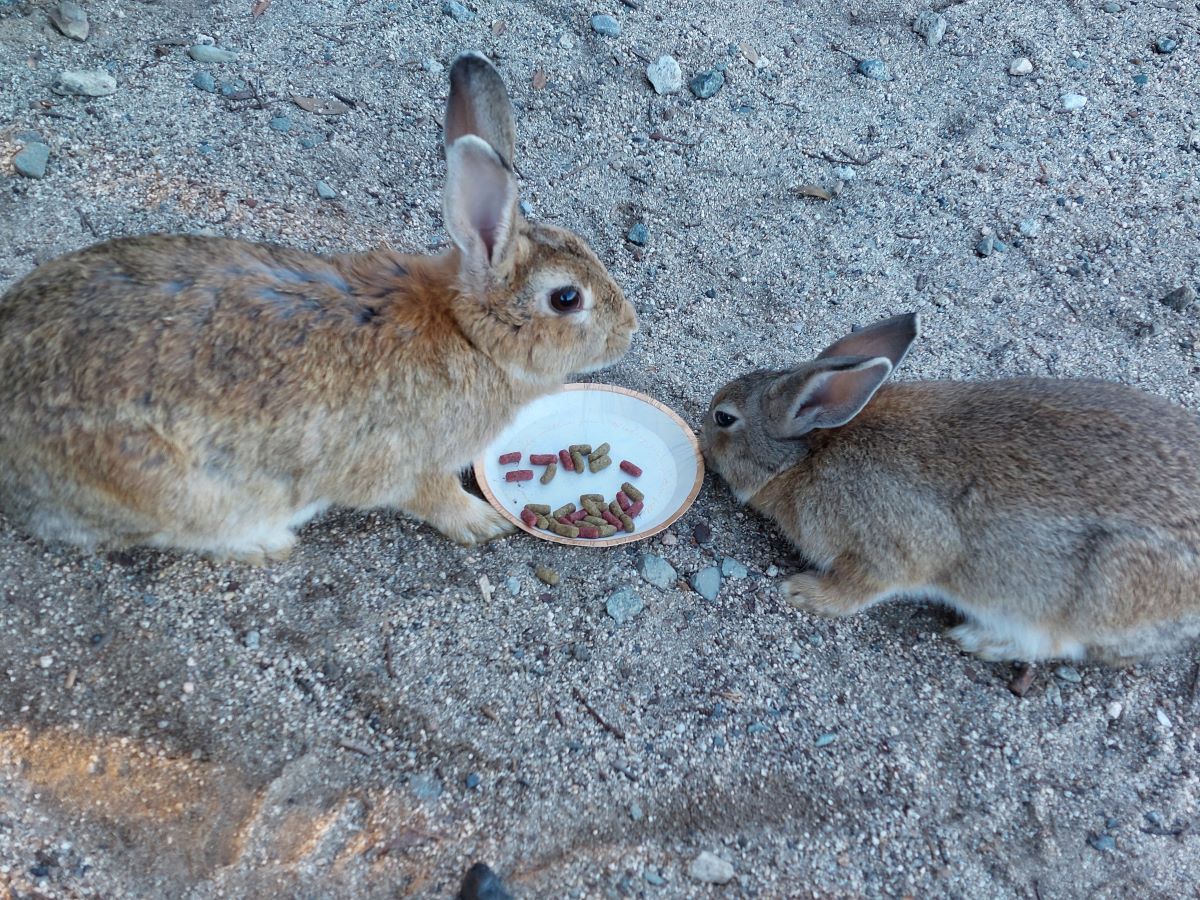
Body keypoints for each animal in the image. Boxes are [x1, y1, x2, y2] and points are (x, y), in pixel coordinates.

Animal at [0, 51, 638, 564]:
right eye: (566, 298)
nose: (629, 330)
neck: (468, 334)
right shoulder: (412, 465)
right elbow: (433, 499)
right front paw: (482, 523)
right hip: (177, 488)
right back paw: (266, 545)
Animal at [700, 314, 1200, 662]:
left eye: (724, 418)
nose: (701, 442)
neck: (805, 456)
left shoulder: (893, 546)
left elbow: (865, 587)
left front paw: (803, 593)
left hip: (1081, 594)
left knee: (1060, 644)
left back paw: (979, 641)